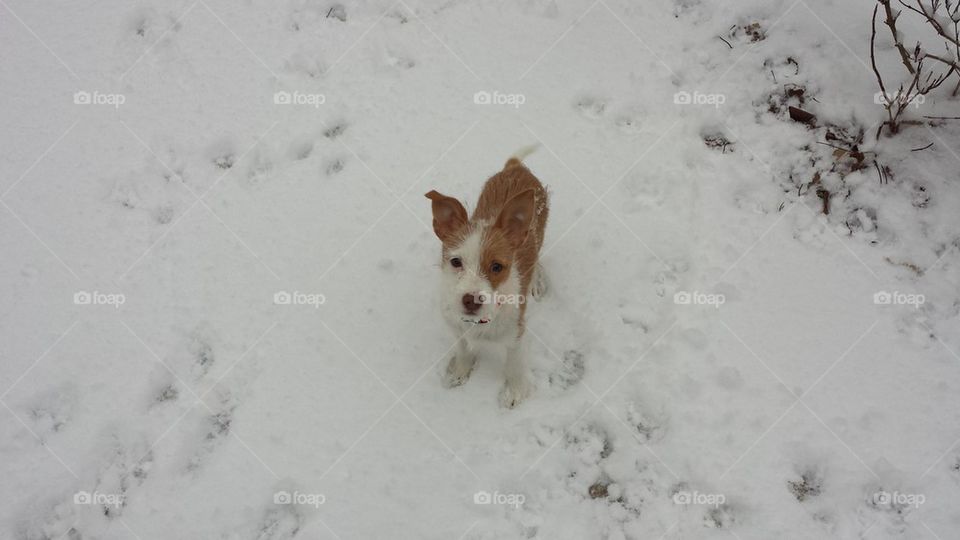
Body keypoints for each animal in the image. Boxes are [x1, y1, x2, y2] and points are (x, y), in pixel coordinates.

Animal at [426, 148, 552, 410]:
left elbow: (514, 364)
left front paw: (515, 391)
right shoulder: (457, 327)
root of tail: (516, 167)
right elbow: (463, 350)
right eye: (456, 262)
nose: (471, 300)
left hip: (540, 230)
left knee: (537, 257)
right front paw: (460, 372)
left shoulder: (516, 334)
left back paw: (536, 282)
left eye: (497, 267)